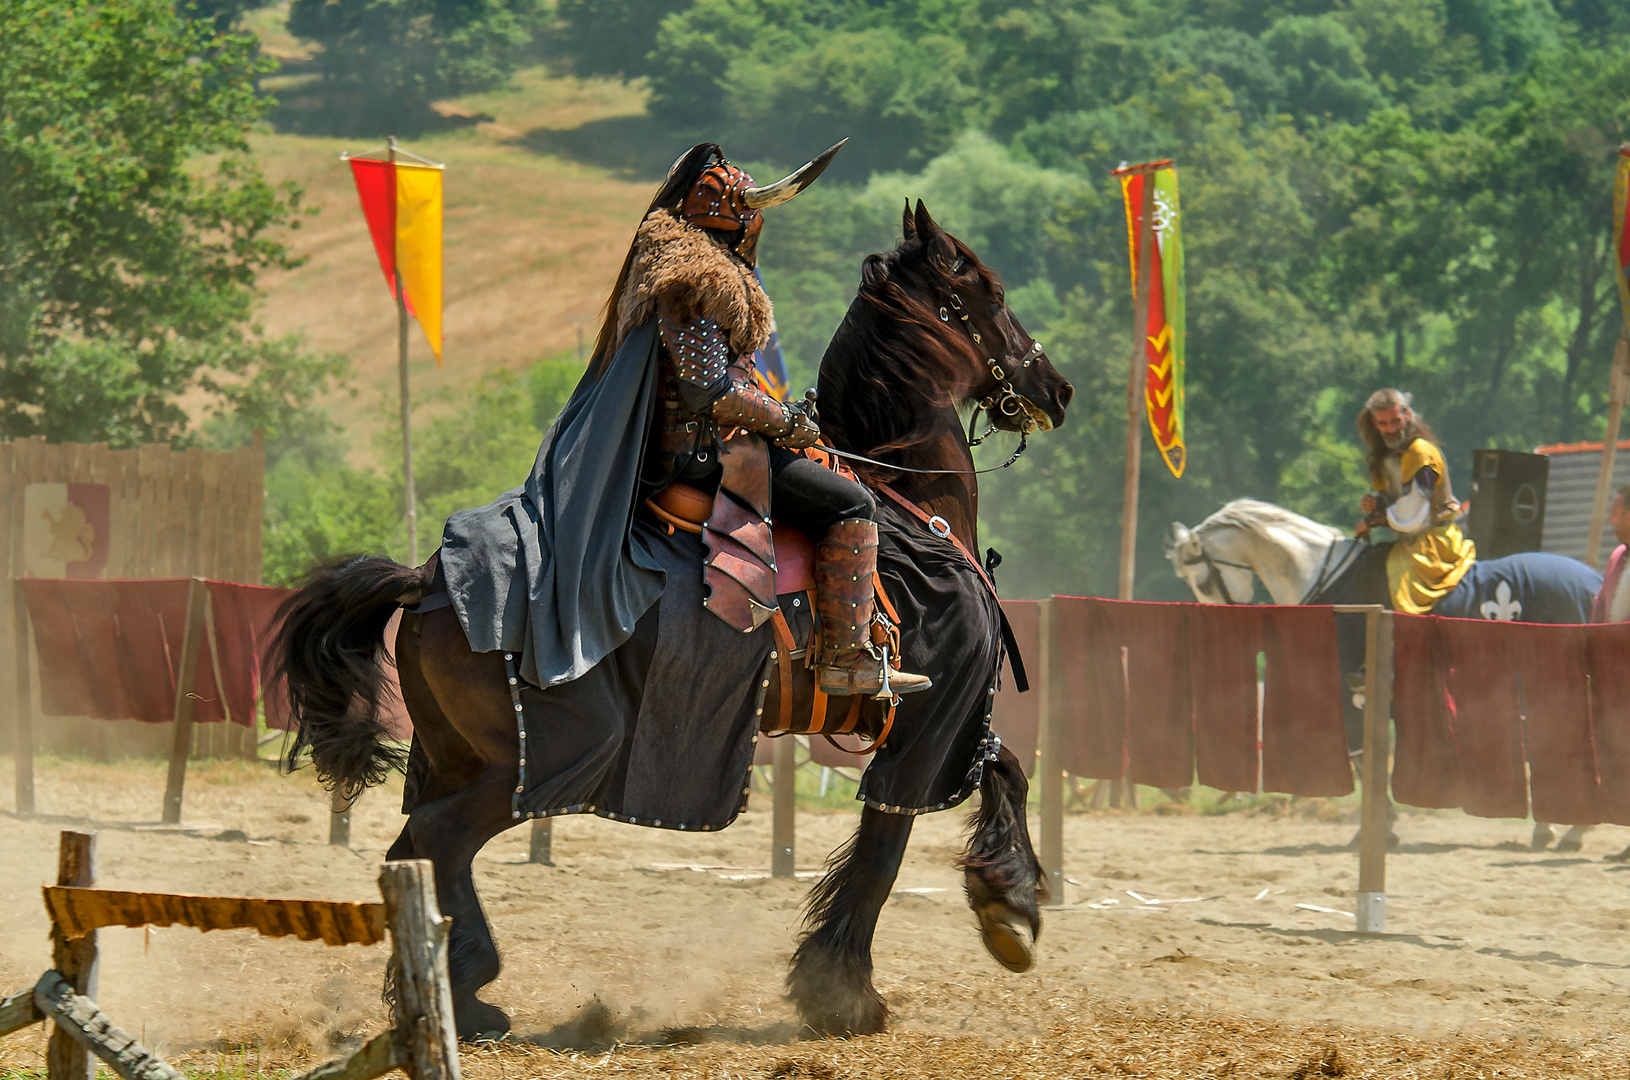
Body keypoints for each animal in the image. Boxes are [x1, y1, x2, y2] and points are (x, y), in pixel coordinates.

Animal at [273, 200, 1075, 1042]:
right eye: (988, 291)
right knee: (438, 839)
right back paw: (468, 991)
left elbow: (1004, 770)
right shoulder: (931, 716)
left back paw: (447, 993)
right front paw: (861, 982)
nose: (1056, 389)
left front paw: (1002, 904)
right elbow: (893, 839)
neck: (910, 507)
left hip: (460, 756)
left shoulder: (938, 720)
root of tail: (428, 580)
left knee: (417, 851)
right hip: (525, 764)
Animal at [1167, 498, 1597, 853]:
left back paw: (1568, 830)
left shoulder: (1352, 696)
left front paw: (1378, 829)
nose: (1224, 624)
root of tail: (1592, 582)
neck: (1327, 581)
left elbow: (1362, 756)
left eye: (1203, 581)